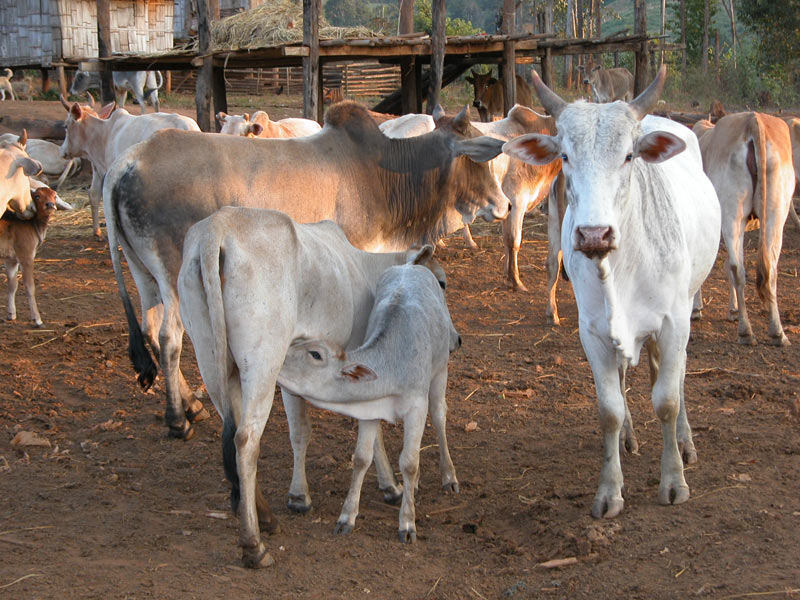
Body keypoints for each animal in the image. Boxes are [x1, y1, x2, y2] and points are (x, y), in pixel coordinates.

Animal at [278, 262, 460, 544]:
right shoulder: (369, 410)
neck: (392, 365)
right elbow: (362, 458)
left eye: (315, 354)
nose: (276, 359)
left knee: (440, 416)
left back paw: (449, 476)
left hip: (441, 369)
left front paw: (407, 523)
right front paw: (346, 517)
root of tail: (410, 265)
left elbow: (409, 462)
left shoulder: (416, 408)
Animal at [506, 64, 724, 516]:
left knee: (676, 377)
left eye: (627, 156)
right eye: (565, 156)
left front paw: (673, 480)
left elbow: (668, 399)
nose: (593, 234)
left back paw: (684, 442)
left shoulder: (674, 323)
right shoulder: (593, 332)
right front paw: (609, 490)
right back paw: (631, 438)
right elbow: (610, 410)